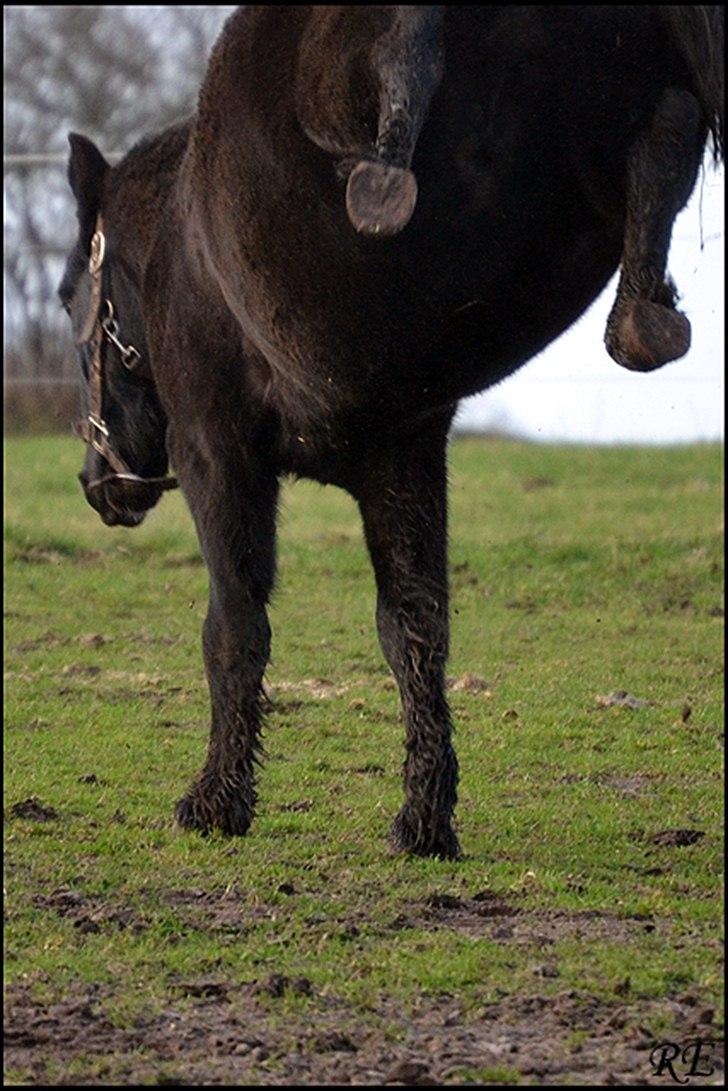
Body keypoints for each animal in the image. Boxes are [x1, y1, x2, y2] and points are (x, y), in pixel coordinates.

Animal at [61, 8, 724, 859]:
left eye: (69, 296)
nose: (99, 484)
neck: (186, 252)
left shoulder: (215, 452)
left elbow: (234, 624)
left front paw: (215, 801)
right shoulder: (401, 459)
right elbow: (412, 626)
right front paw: (425, 815)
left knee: (400, 67)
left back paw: (385, 177)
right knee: (664, 132)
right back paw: (645, 309)